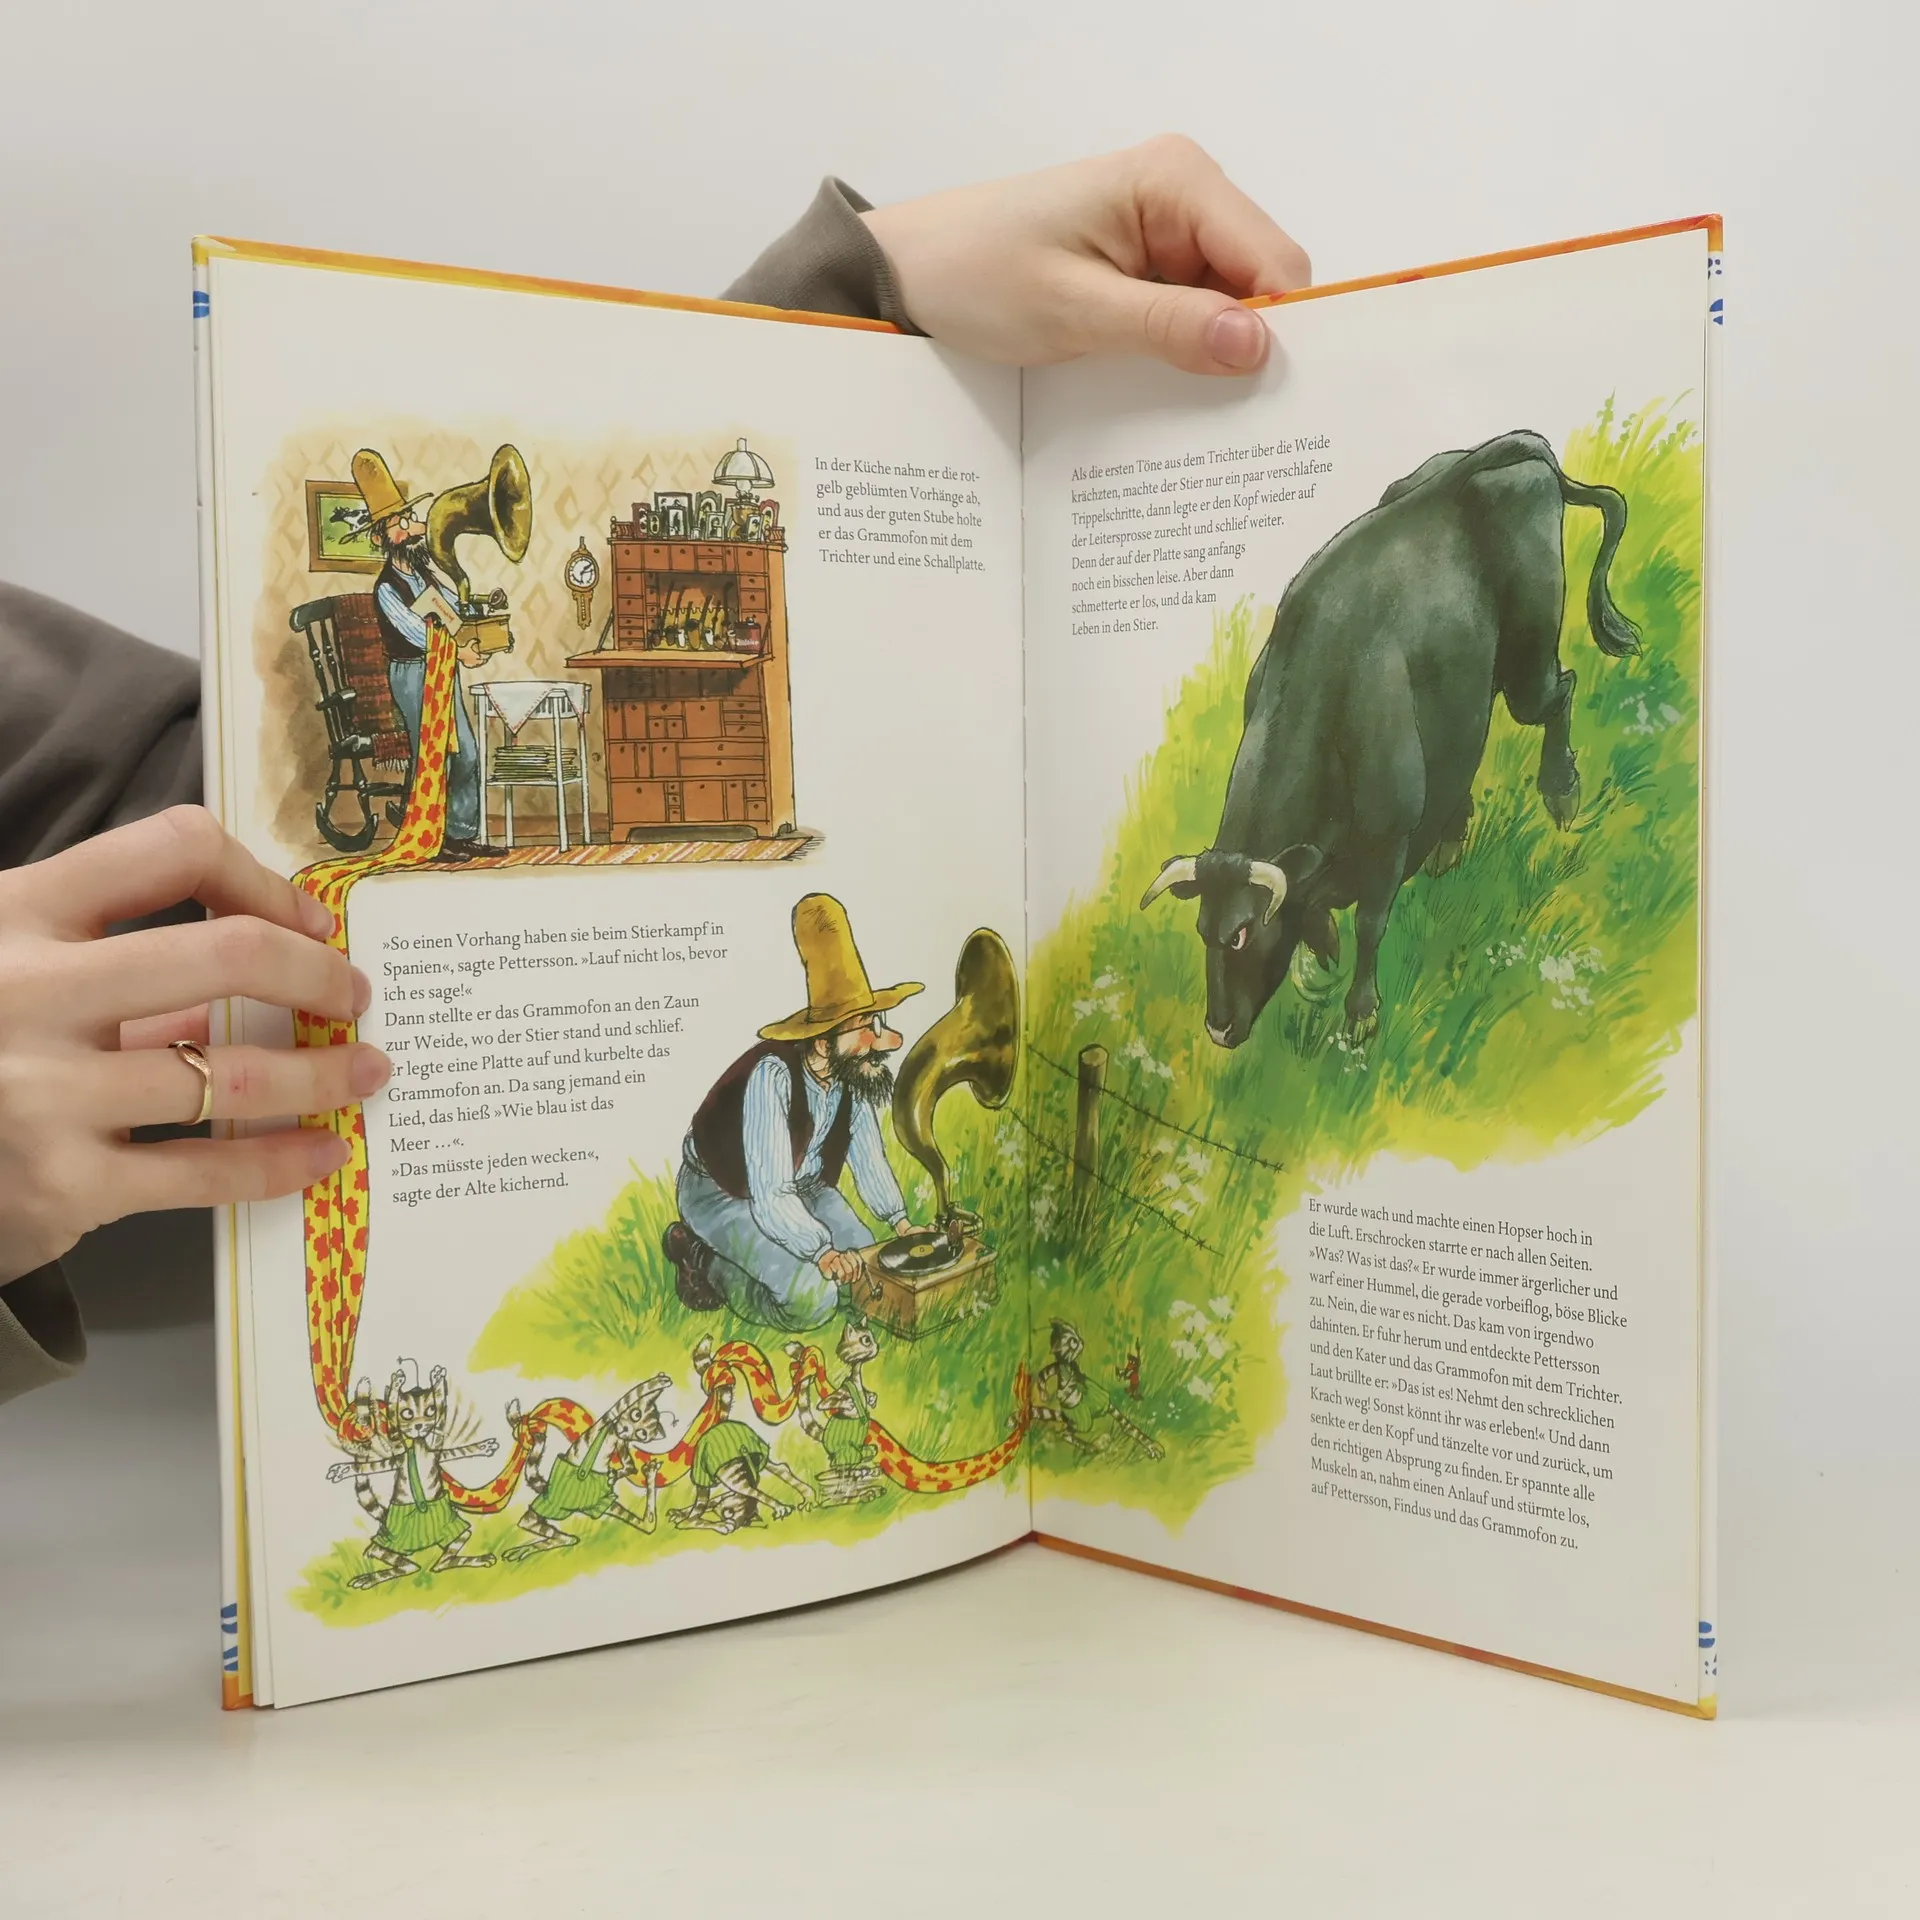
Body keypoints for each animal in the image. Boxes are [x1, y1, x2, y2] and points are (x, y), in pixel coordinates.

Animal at [1140, 430, 1639, 1049]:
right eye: (1204, 930)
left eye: (1242, 933)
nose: (1218, 1028)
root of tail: (1513, 450)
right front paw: (1322, 949)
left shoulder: (1390, 836)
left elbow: (1371, 924)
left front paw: (1360, 1014)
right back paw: (1452, 841)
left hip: (1529, 657)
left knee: (1561, 691)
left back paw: (1562, 792)